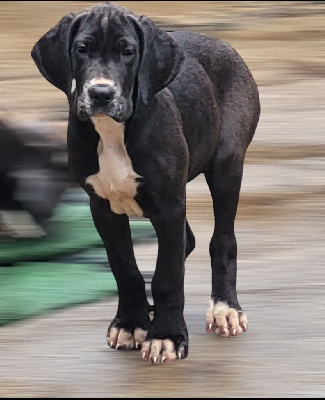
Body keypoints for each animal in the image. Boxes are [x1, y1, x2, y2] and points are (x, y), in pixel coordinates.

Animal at [31, 1, 260, 364]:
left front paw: (166, 335)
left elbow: (168, 274)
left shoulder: (168, 205)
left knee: (221, 240)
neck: (112, 132)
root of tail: (221, 43)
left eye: (128, 52)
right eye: (82, 49)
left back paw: (225, 309)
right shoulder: (103, 208)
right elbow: (124, 267)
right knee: (187, 240)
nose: (100, 93)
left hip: (226, 165)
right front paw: (131, 322)